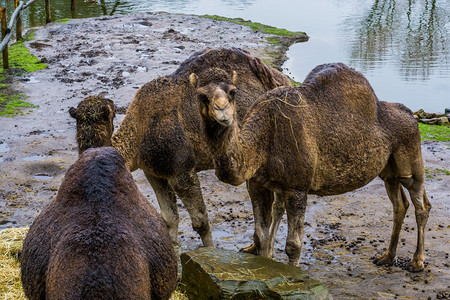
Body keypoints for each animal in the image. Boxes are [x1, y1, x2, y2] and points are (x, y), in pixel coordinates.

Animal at [68, 48, 290, 247]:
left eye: (107, 113)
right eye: (79, 117)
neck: (141, 127)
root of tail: (281, 79)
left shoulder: (181, 170)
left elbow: (201, 222)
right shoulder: (153, 171)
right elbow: (169, 218)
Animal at [194, 61, 432, 272]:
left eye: (233, 92)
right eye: (201, 96)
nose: (222, 111)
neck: (262, 140)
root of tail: (410, 114)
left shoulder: (297, 187)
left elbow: (293, 245)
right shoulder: (257, 185)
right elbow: (260, 237)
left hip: (410, 158)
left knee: (421, 204)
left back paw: (417, 262)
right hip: (388, 171)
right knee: (400, 204)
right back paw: (387, 257)